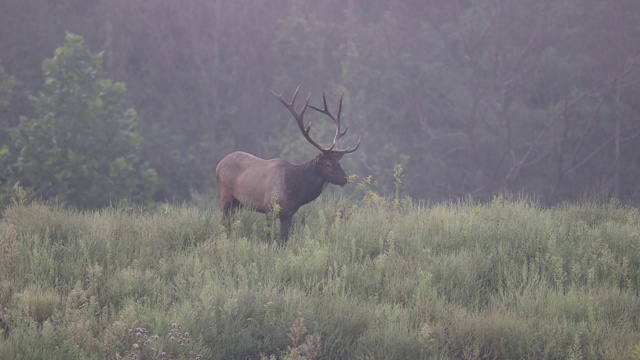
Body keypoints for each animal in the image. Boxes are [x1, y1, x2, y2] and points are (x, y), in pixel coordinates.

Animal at [216, 85, 360, 242]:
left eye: (338, 163)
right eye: (328, 164)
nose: (345, 179)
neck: (295, 192)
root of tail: (218, 165)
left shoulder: (288, 214)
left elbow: (283, 239)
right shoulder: (269, 209)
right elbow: (269, 237)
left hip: (238, 203)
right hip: (226, 197)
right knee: (223, 222)